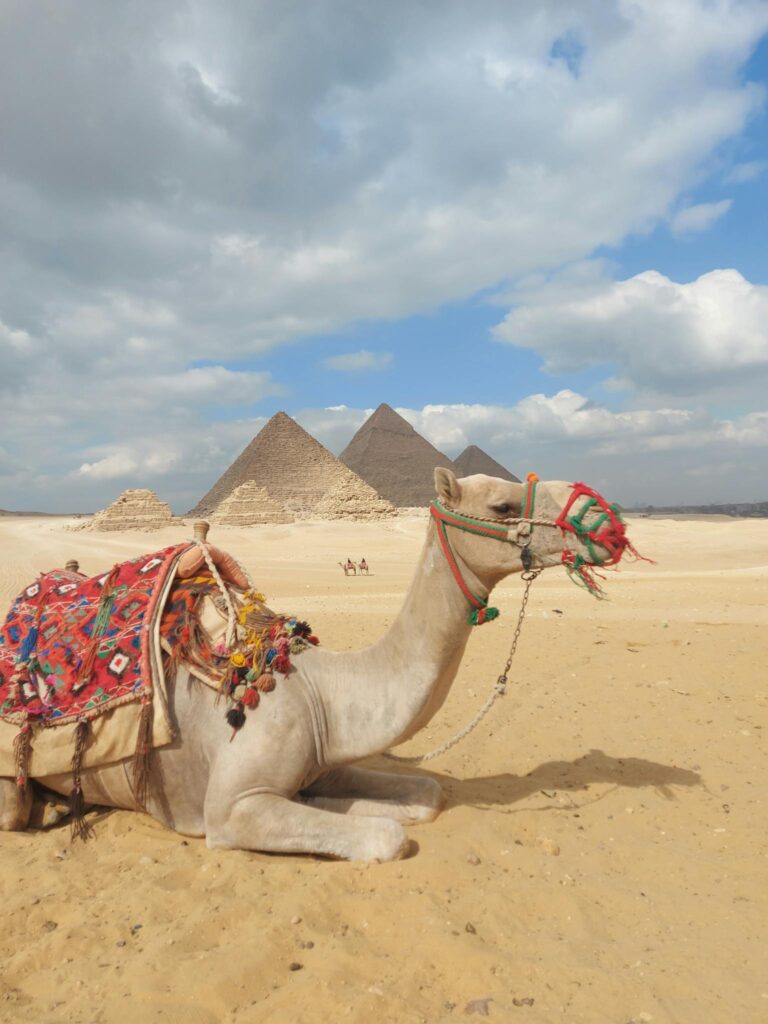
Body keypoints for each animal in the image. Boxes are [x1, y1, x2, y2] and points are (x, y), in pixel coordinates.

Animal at [0, 468, 638, 856]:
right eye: (502, 505)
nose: (607, 523)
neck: (322, 689)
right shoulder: (231, 810)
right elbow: (385, 837)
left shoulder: (323, 758)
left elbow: (425, 795)